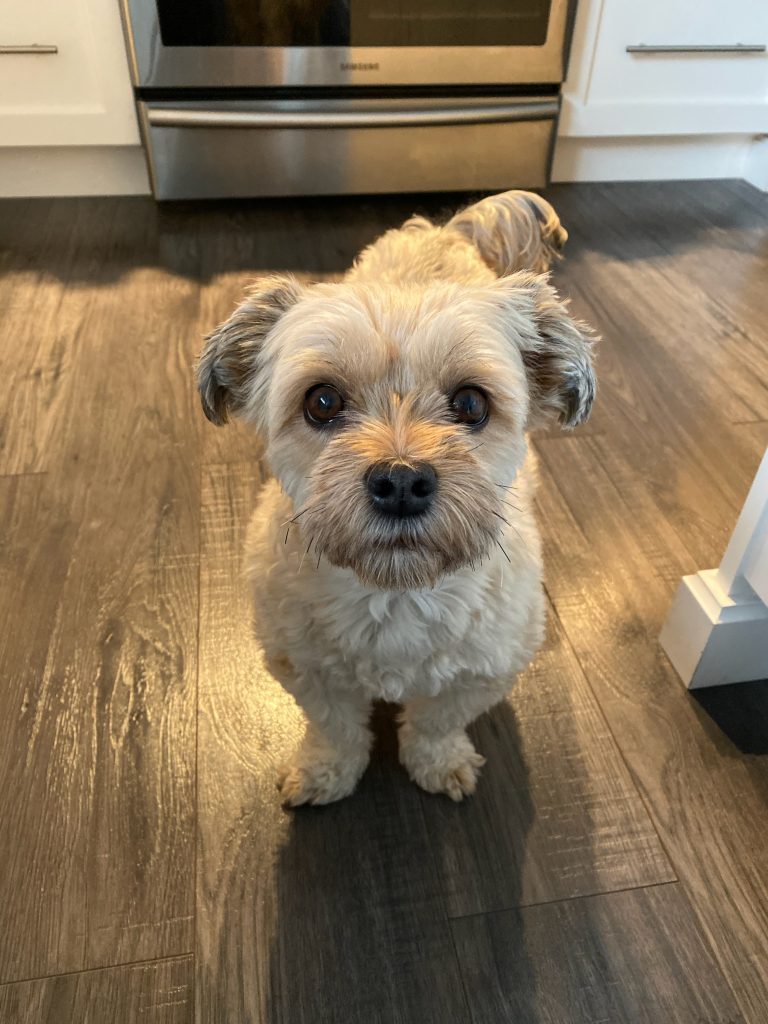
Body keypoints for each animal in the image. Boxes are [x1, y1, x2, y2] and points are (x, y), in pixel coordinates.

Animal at [196, 188, 593, 802]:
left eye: (471, 404)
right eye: (322, 401)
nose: (401, 480)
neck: (396, 594)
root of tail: (445, 230)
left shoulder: (481, 672)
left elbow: (435, 722)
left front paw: (437, 761)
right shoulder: (305, 668)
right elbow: (334, 728)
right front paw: (326, 770)